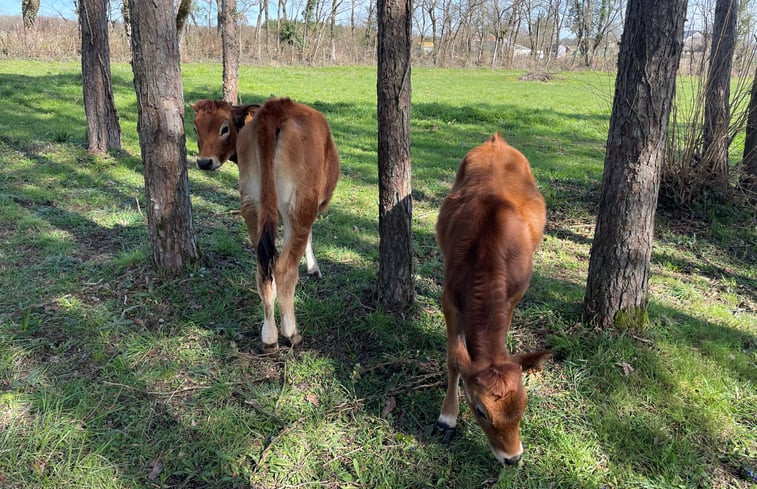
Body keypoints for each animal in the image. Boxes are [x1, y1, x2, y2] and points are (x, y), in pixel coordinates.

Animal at [192, 98, 340, 350]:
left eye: (224, 128)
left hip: (251, 204)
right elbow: (309, 236)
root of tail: (276, 108)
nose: (203, 162)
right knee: (283, 268)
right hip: (300, 204)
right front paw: (313, 268)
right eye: (196, 128)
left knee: (263, 269)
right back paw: (291, 333)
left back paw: (269, 337)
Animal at [432, 132, 548, 466]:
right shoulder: (449, 298)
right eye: (481, 411)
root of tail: (496, 140)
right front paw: (447, 418)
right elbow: (453, 360)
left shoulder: (513, 297)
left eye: (523, 405)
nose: (513, 458)